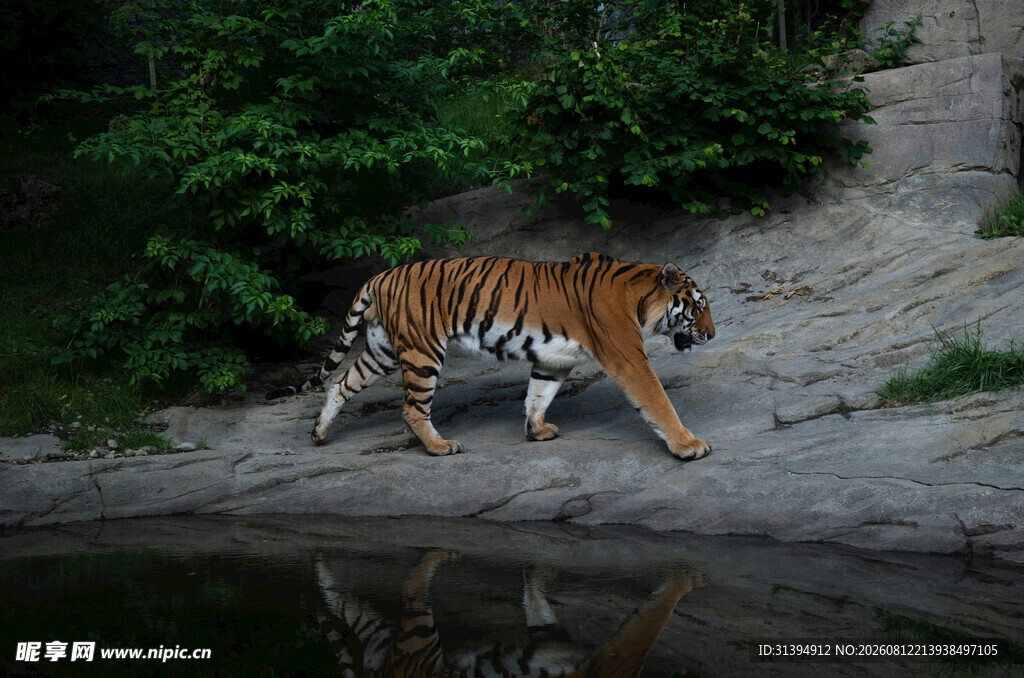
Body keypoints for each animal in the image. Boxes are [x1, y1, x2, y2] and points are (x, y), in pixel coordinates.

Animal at [265, 252, 715, 460]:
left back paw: (319, 434)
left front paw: (537, 431)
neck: (638, 295)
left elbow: (538, 395)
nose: (712, 334)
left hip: (383, 351)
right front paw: (689, 445)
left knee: (340, 383)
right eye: (698, 306)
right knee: (412, 409)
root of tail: (381, 275)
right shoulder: (627, 357)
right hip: (422, 351)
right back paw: (440, 446)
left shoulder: (553, 359)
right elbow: (657, 401)